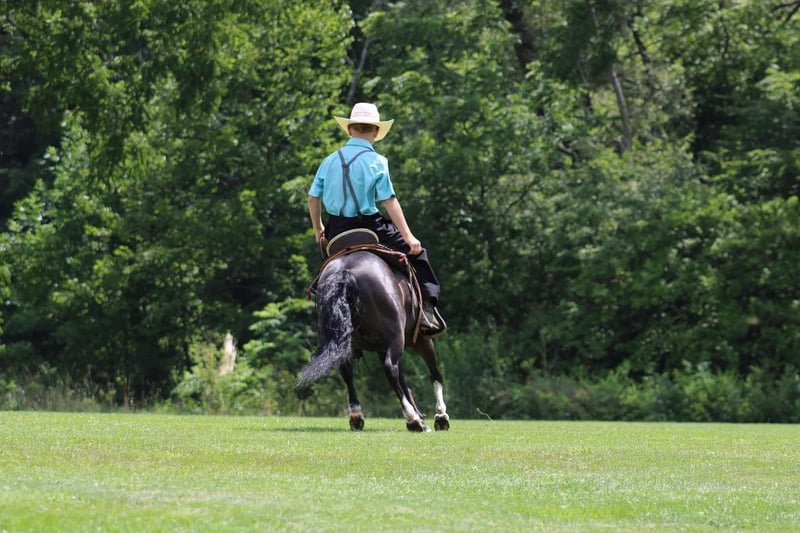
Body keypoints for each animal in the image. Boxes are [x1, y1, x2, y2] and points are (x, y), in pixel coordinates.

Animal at [298, 237, 450, 432]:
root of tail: (345, 271)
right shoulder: (421, 340)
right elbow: (434, 372)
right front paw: (440, 416)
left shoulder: (381, 347)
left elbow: (404, 381)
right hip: (397, 337)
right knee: (391, 368)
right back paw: (412, 418)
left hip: (345, 340)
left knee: (347, 370)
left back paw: (357, 415)